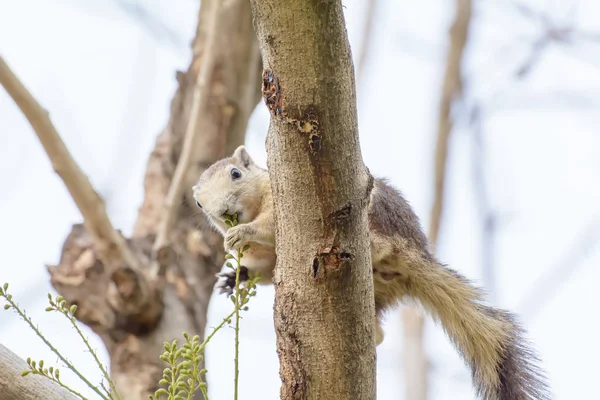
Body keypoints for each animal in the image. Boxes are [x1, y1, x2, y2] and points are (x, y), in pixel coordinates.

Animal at [195, 145, 552, 398]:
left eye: (236, 173)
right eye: (199, 204)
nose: (223, 211)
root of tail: (418, 255)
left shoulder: (279, 204)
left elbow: (267, 226)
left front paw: (242, 232)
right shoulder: (267, 261)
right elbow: (265, 272)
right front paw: (233, 277)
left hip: (377, 221)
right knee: (378, 332)